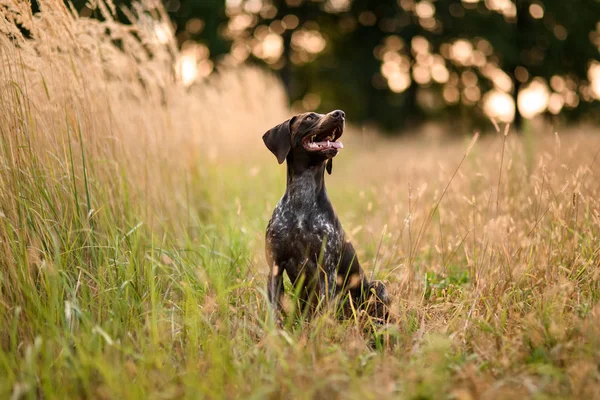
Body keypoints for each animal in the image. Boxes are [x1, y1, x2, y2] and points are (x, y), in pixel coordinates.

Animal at [262, 109, 390, 324]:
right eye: (309, 117)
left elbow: (324, 311)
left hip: (377, 286)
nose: (340, 114)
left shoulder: (326, 270)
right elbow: (275, 312)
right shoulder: (275, 266)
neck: (301, 203)